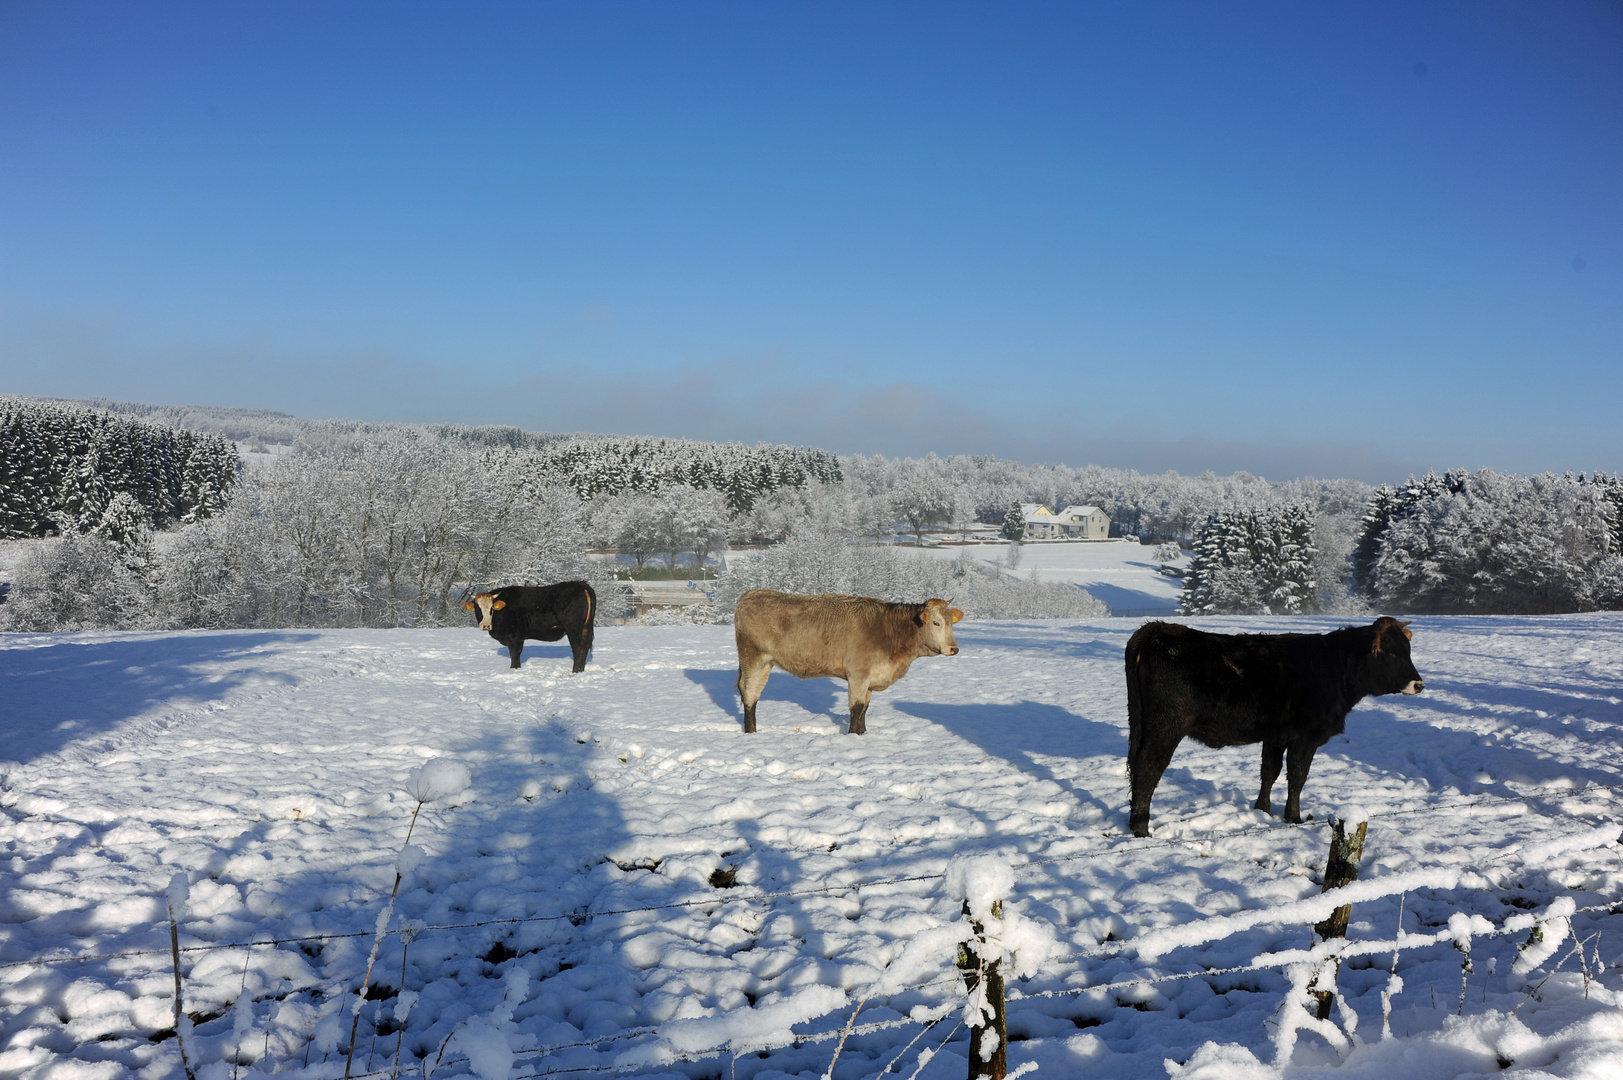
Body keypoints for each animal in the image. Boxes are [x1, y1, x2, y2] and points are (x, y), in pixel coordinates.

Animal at [464, 578, 597, 669]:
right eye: (477, 608)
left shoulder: (513, 637)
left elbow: (514, 654)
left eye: (492, 608)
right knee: (585, 647)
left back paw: (574, 671)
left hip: (573, 628)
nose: (485, 625)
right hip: (586, 627)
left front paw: (513, 669)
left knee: (577, 648)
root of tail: (580, 584)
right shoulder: (519, 637)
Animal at [736, 591, 960, 734]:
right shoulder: (858, 675)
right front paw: (853, 736)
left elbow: (865, 709)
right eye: (936, 623)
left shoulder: (871, 678)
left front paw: (862, 734)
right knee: (749, 694)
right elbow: (856, 708)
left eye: (951, 623)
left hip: (766, 663)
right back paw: (751, 732)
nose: (954, 649)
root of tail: (752, 593)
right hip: (753, 659)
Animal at [1129, 613, 1421, 831]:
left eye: (1407, 650)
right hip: (1167, 727)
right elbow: (1298, 776)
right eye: (1391, 653)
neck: (1335, 668)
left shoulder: (1275, 735)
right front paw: (1294, 817)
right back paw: (1141, 828)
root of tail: (1158, 629)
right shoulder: (1305, 738)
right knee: (1148, 766)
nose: (1419, 684)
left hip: (1141, 724)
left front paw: (1263, 811)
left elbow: (1270, 771)